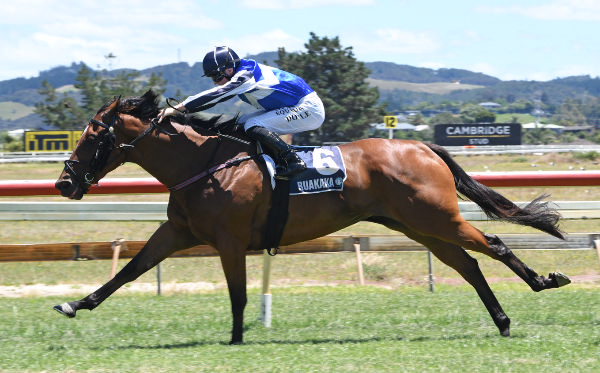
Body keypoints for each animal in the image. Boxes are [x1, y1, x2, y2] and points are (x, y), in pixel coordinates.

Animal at [54, 89, 568, 342]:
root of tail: (422, 146)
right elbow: (129, 271)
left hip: (435, 219)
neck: (202, 164)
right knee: (469, 264)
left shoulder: (229, 240)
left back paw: (544, 282)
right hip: (417, 225)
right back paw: (502, 320)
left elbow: (239, 294)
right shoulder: (178, 231)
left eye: (93, 134)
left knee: (493, 245)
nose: (64, 183)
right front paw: (75, 304)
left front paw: (236, 339)